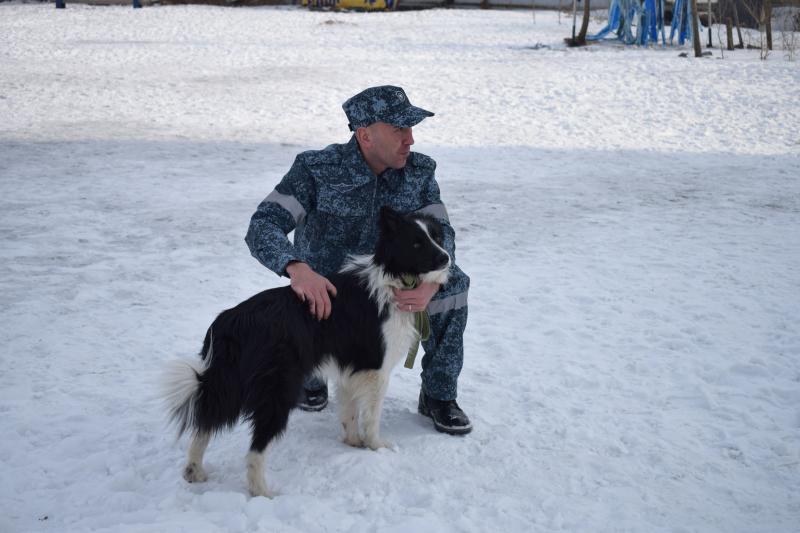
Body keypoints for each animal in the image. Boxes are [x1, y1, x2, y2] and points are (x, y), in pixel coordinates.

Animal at [164, 206, 450, 496]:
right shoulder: (375, 370)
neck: (393, 278)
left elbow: (349, 410)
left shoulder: (351, 368)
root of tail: (232, 321)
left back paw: (194, 471)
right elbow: (371, 415)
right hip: (279, 388)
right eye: (416, 243)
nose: (447, 257)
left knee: (206, 421)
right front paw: (376, 446)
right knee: (255, 448)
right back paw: (262, 492)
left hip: (231, 381)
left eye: (436, 236)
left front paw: (353, 442)